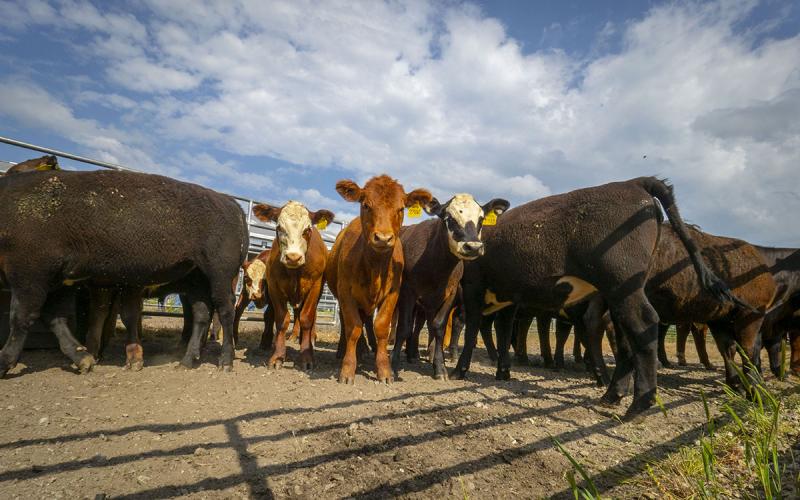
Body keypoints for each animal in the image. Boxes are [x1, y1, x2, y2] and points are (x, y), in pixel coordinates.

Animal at [0, 169, 248, 377]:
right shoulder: (70, 283)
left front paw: (4, 361)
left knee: (225, 310)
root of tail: (229, 202)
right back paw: (186, 361)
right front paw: (86, 358)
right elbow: (60, 318)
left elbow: (21, 317)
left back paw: (225, 361)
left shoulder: (30, 277)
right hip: (195, 279)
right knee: (201, 314)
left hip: (219, 275)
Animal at [251, 201, 333, 370]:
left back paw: (309, 339)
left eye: (307, 229)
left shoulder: (315, 286)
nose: (293, 257)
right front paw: (278, 356)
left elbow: (307, 319)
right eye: (279, 228)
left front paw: (307, 356)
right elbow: (282, 321)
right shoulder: (274, 288)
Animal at [326, 175, 432, 384]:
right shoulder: (346, 293)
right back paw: (347, 351)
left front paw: (384, 369)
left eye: (401, 208)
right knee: (348, 321)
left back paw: (369, 349)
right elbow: (353, 328)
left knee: (367, 320)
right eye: (366, 205)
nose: (383, 238)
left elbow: (381, 327)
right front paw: (348, 368)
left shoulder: (393, 294)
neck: (375, 268)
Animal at [390, 194, 509, 379]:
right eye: (449, 218)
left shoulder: (450, 294)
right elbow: (404, 327)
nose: (473, 247)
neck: (436, 264)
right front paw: (393, 366)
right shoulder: (408, 292)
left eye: (481, 219)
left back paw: (416, 354)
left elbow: (438, 327)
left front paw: (439, 367)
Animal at [452, 177, 747, 419]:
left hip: (622, 284)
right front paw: (502, 371)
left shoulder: (474, 286)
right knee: (626, 338)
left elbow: (473, 328)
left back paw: (639, 404)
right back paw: (612, 395)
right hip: (617, 293)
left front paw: (460, 369)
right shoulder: (509, 296)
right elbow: (503, 331)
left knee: (644, 325)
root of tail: (634, 182)